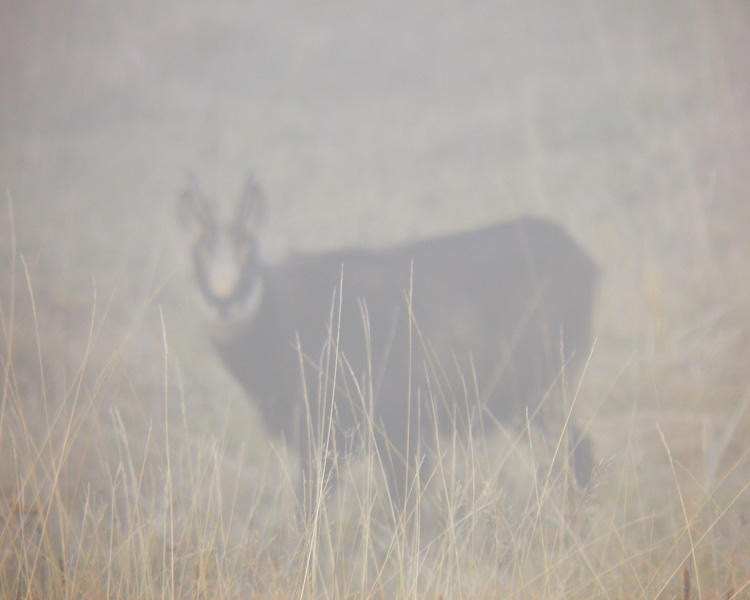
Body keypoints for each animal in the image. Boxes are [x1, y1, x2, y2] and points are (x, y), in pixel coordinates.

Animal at [178, 173, 600, 502]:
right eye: (200, 253)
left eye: (248, 250)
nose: (224, 300)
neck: (286, 320)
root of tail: (587, 262)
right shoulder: (322, 443)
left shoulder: (394, 425)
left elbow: (402, 505)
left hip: (539, 386)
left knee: (577, 453)